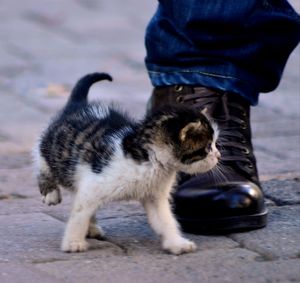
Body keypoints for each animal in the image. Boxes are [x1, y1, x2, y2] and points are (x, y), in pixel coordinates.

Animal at [34, 72, 219, 255]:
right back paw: (50, 192)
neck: (151, 161)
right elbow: (79, 215)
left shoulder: (154, 196)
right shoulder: (94, 183)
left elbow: (165, 220)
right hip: (56, 150)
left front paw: (176, 243)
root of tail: (78, 105)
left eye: (214, 144)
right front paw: (73, 242)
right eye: (207, 147)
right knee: (41, 157)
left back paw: (92, 228)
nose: (218, 155)